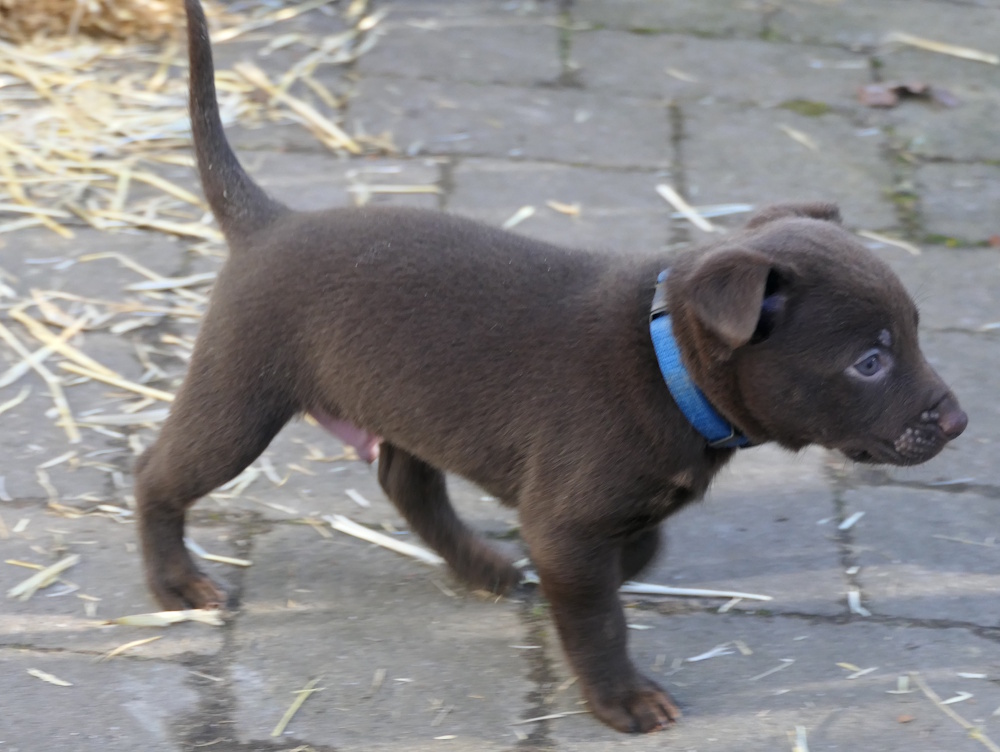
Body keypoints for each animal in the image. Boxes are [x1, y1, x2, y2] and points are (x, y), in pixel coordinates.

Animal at [136, 0, 968, 734]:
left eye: (915, 334)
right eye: (869, 362)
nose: (959, 421)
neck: (666, 364)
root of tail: (269, 223)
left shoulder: (586, 517)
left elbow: (638, 551)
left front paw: (618, 569)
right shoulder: (566, 521)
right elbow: (598, 619)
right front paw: (623, 699)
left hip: (399, 399)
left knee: (405, 480)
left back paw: (483, 566)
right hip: (241, 397)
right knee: (158, 474)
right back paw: (175, 582)